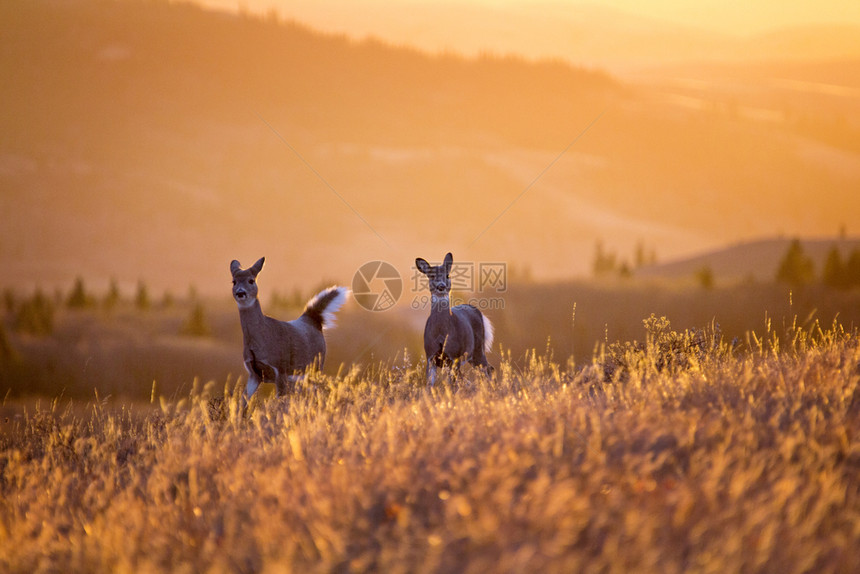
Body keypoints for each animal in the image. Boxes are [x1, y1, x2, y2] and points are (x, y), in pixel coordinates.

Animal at [232, 258, 350, 402]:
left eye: (251, 280)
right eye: (234, 281)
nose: (240, 293)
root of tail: (311, 318)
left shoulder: (280, 370)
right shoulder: (254, 374)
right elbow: (242, 402)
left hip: (316, 367)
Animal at [414, 252, 494, 388]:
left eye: (447, 275)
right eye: (432, 276)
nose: (441, 286)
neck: (441, 333)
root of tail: (478, 311)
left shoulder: (454, 356)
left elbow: (452, 385)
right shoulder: (430, 355)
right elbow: (429, 385)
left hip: (478, 348)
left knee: (488, 369)